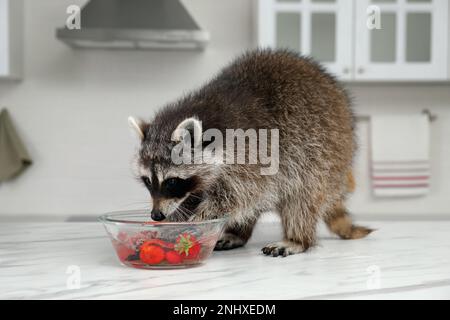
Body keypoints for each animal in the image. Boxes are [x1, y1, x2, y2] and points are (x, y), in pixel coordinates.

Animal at [127, 48, 372, 256]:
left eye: (171, 182)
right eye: (147, 181)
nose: (156, 215)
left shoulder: (253, 154)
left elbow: (237, 196)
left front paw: (195, 220)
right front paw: (175, 221)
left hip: (325, 154)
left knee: (301, 198)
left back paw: (297, 238)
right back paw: (238, 233)